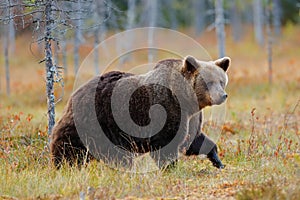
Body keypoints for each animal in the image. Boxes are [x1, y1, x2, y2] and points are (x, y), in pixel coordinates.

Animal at [50, 55, 231, 170]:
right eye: (208, 82)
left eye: (222, 81)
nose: (222, 95)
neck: (187, 101)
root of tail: (74, 94)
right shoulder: (166, 110)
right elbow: (166, 145)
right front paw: (170, 168)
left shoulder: (190, 118)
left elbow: (194, 139)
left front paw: (218, 161)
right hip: (94, 121)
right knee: (70, 146)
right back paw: (63, 165)